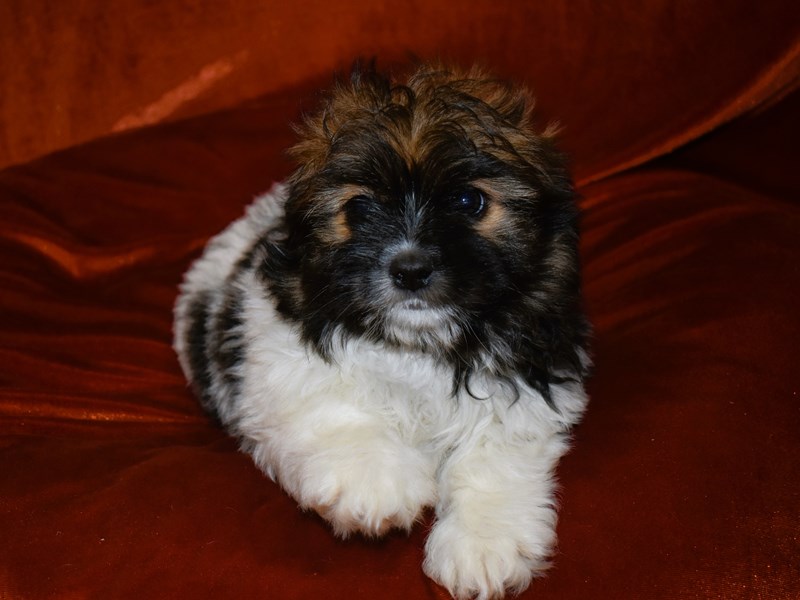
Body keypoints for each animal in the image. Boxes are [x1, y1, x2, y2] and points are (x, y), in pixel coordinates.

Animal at [173, 64, 588, 600]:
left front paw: (482, 545)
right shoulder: (277, 358)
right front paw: (374, 482)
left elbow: (496, 452)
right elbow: (332, 407)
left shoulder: (530, 377)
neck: (416, 344)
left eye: (469, 201)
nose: (410, 270)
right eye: (359, 210)